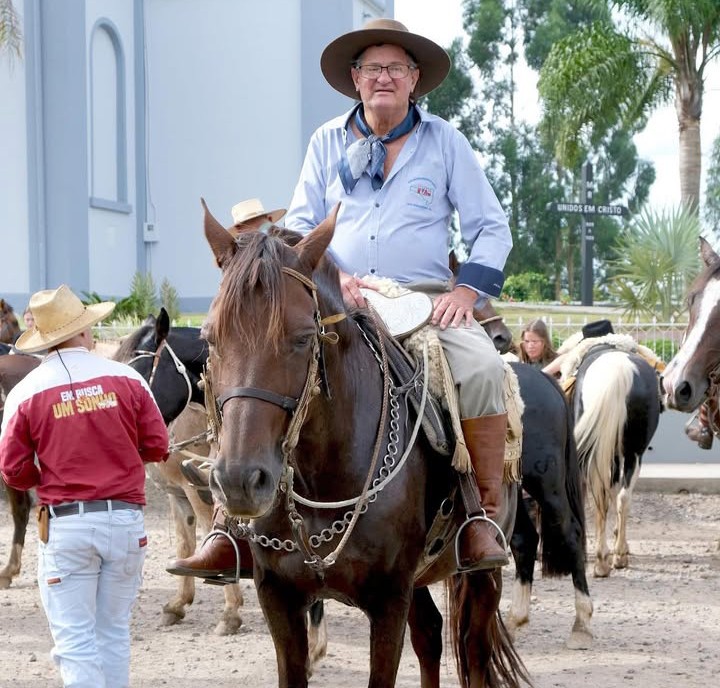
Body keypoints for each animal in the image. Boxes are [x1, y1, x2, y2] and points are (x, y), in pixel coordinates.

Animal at [201, 202, 527, 688]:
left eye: (303, 338)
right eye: (210, 337)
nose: (240, 480)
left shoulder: (388, 600)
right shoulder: (278, 598)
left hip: (481, 576)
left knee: (472, 650)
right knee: (429, 634)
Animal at [568, 340, 661, 578]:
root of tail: (618, 373)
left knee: (603, 499)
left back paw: (603, 560)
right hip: (632, 453)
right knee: (621, 497)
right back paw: (616, 556)